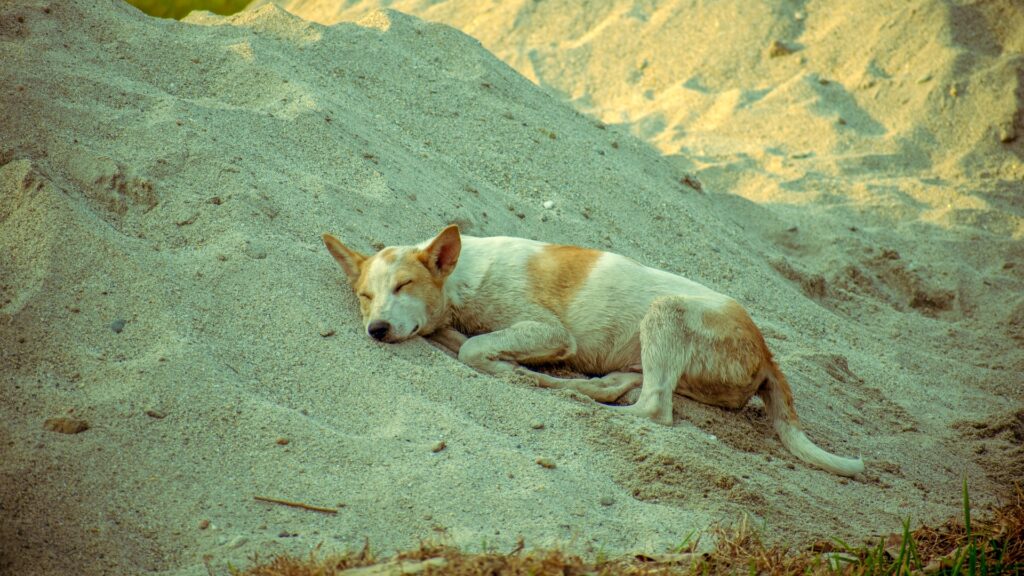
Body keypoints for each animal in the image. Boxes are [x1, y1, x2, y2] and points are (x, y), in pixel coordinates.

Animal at [325, 224, 864, 475]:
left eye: (404, 285)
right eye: (365, 295)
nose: (376, 329)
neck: (462, 276)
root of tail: (767, 352)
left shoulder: (548, 330)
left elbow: (473, 348)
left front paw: (498, 361)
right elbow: (460, 338)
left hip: (665, 311)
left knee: (653, 410)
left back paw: (560, 391)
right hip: (650, 354)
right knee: (628, 388)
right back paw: (569, 385)